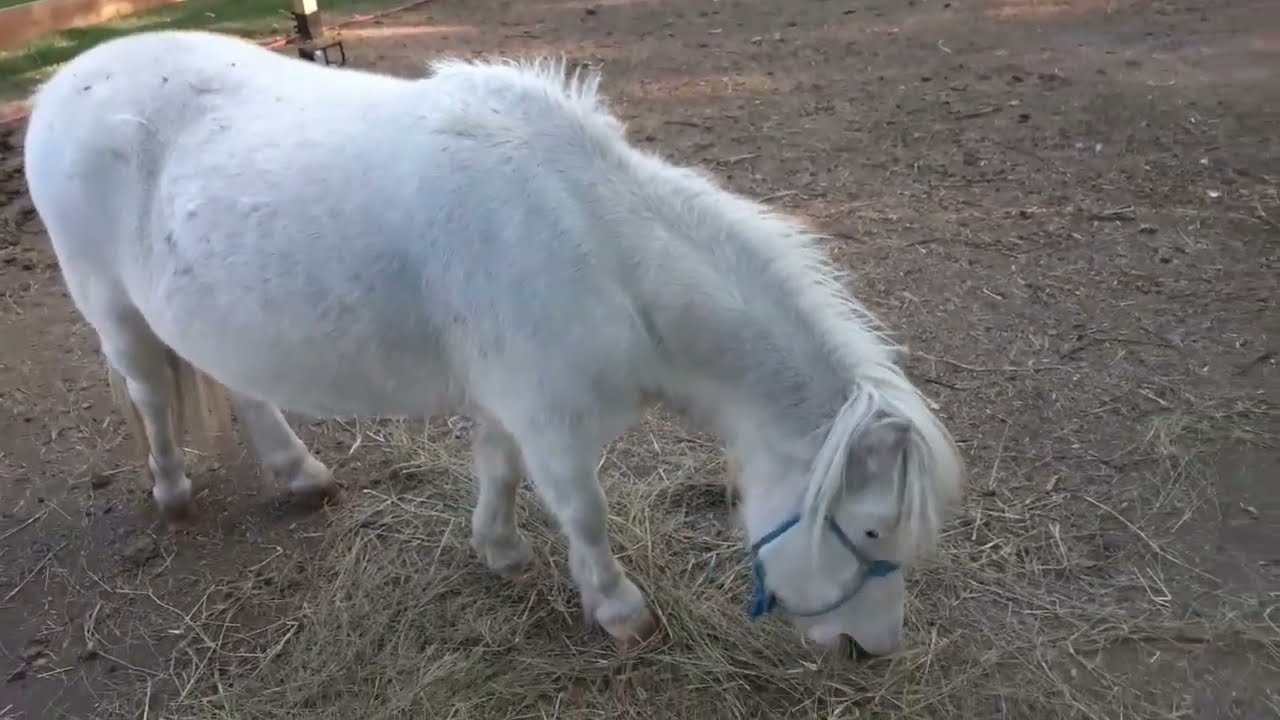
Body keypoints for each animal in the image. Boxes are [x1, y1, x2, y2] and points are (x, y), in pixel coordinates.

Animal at [22, 30, 964, 657]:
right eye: (872, 530)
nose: (871, 652)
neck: (598, 248)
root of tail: (64, 82)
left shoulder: (513, 403)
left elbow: (498, 470)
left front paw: (500, 550)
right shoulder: (554, 422)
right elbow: (583, 512)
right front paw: (618, 610)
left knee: (244, 389)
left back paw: (299, 475)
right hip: (113, 310)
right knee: (150, 394)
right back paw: (172, 492)